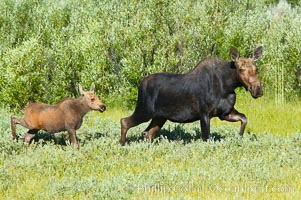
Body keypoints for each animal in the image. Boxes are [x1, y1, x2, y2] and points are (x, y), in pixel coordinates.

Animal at [119, 45, 262, 145]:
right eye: (241, 69)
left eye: (256, 69)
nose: (258, 90)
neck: (228, 86)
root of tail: (140, 84)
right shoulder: (204, 113)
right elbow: (206, 138)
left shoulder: (225, 113)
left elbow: (244, 119)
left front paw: (240, 137)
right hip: (144, 110)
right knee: (124, 122)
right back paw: (122, 145)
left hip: (159, 117)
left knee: (147, 133)